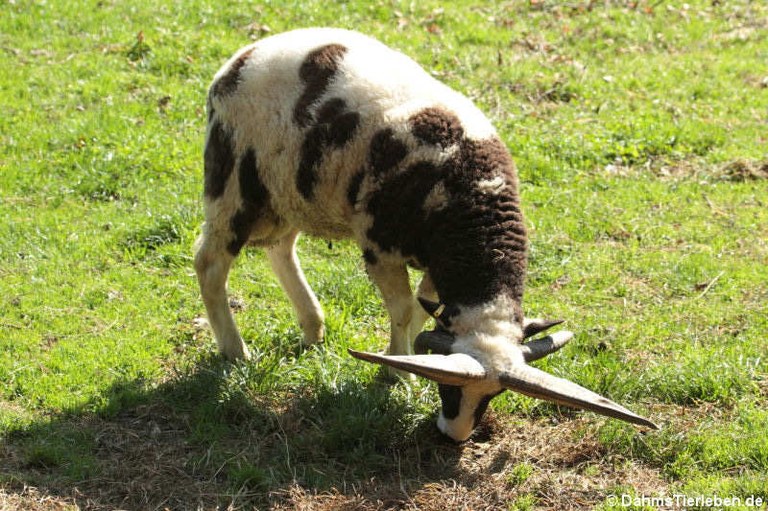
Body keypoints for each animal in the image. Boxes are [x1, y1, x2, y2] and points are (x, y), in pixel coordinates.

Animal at [194, 27, 658, 441]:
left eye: (494, 396)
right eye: (448, 386)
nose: (454, 436)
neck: (473, 200)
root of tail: (241, 59)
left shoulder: (440, 263)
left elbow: (420, 312)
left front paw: (407, 358)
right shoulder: (380, 245)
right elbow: (402, 311)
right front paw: (396, 372)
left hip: (288, 191)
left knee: (280, 248)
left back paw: (313, 329)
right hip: (234, 183)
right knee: (211, 263)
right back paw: (236, 352)